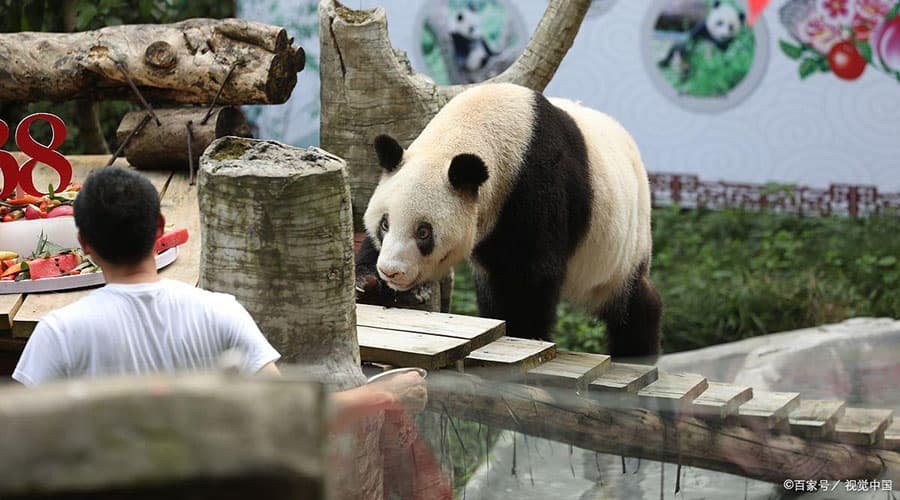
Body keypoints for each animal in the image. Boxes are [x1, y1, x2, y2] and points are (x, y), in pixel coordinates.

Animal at [356, 83, 662, 360]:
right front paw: (368, 282)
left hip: (620, 242)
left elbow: (532, 273)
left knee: (631, 303)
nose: (391, 272)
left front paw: (524, 333)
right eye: (384, 224)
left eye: (423, 232)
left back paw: (637, 350)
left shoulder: (536, 184)